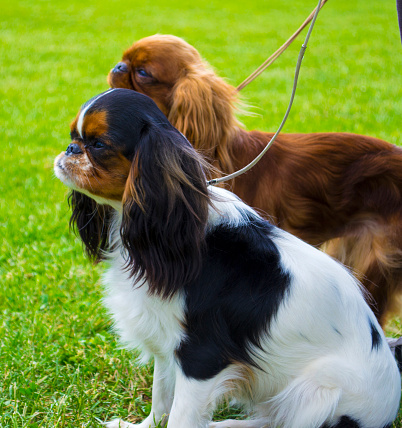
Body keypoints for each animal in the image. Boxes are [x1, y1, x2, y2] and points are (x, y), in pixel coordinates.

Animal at [54, 88, 402, 426]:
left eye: (98, 144)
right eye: (73, 135)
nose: (70, 149)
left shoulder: (202, 357)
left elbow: (180, 416)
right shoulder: (166, 340)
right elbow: (161, 397)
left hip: (317, 388)